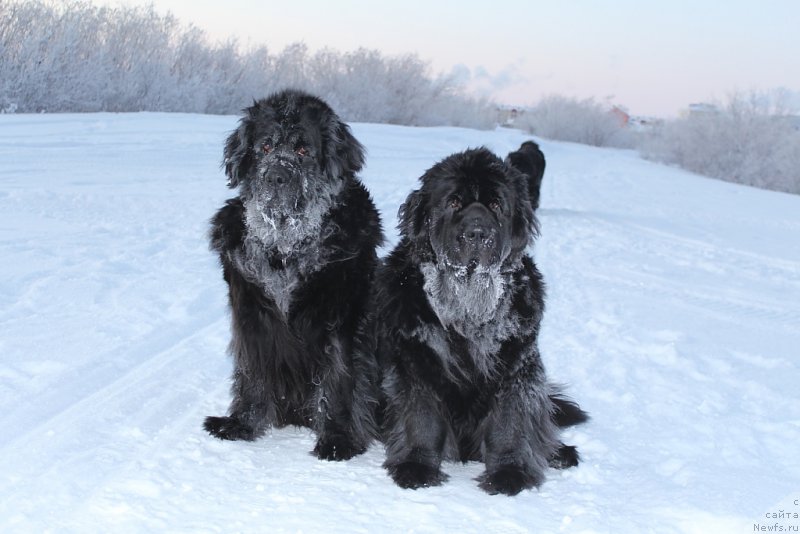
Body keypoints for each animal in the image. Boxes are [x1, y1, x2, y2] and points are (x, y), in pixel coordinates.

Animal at [205, 90, 382, 462]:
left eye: (303, 151)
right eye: (265, 147)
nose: (276, 176)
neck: (285, 250)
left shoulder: (341, 320)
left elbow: (339, 379)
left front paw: (338, 438)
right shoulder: (251, 315)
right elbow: (251, 372)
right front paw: (241, 423)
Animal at [372, 144, 584, 496]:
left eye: (496, 205)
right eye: (453, 202)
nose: (477, 233)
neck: (466, 313)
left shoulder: (518, 365)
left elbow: (511, 422)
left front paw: (510, 473)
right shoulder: (415, 361)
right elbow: (421, 418)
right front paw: (416, 467)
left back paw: (559, 453)